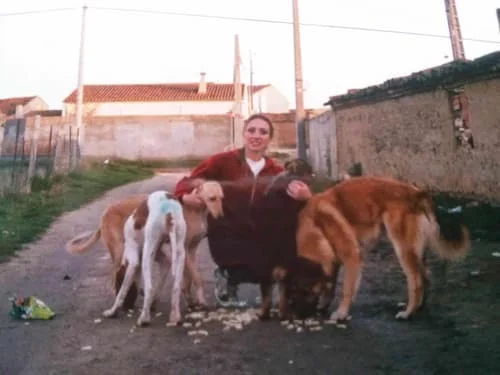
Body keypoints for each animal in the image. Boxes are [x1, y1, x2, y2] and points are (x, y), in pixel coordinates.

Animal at [65, 182, 225, 312]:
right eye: (212, 198)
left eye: (221, 198)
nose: (220, 216)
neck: (196, 208)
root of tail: (105, 213)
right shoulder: (185, 249)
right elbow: (196, 278)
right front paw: (200, 300)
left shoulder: (191, 250)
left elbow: (189, 278)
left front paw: (191, 300)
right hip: (120, 250)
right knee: (112, 279)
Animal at [101, 191, 186, 326]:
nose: (128, 307)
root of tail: (169, 211)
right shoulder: (163, 260)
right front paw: (153, 304)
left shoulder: (134, 262)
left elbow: (122, 292)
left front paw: (112, 311)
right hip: (180, 251)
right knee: (176, 287)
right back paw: (175, 316)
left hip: (148, 252)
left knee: (149, 288)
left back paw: (144, 318)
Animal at [280, 177, 470, 324]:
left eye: (302, 292)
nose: (296, 316)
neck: (315, 226)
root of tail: (417, 194)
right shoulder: (333, 262)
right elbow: (330, 285)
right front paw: (325, 304)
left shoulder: (352, 256)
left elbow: (346, 289)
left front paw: (341, 313)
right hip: (416, 251)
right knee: (426, 275)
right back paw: (419, 307)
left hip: (403, 248)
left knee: (416, 280)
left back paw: (408, 313)